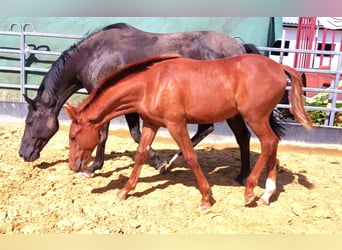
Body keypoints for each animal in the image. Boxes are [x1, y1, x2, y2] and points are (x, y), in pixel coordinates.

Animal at [18, 23, 260, 180]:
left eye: (29, 122)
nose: (23, 154)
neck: (94, 55)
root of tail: (239, 48)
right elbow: (136, 135)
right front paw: (158, 162)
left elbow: (104, 135)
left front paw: (93, 168)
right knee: (232, 134)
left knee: (227, 132)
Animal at [64, 54, 312, 209]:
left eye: (73, 136)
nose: (73, 166)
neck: (151, 84)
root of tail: (279, 67)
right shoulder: (152, 124)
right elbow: (141, 154)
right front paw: (124, 191)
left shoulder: (176, 125)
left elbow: (191, 157)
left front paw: (205, 198)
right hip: (259, 118)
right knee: (273, 143)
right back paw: (266, 195)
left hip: (255, 117)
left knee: (268, 143)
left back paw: (250, 191)